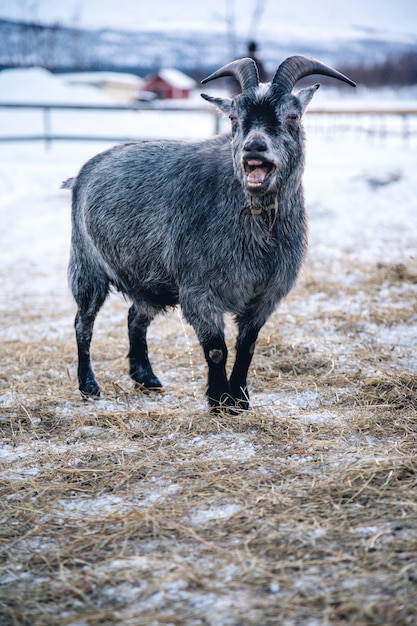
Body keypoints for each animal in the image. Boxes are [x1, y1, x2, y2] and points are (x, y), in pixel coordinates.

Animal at [66, 54, 354, 410]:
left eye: (292, 115)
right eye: (233, 117)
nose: (254, 147)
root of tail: (83, 172)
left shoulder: (265, 295)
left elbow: (246, 348)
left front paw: (240, 399)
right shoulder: (200, 290)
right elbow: (217, 349)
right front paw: (219, 400)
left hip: (147, 278)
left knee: (135, 317)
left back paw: (146, 377)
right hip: (86, 267)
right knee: (83, 323)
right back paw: (89, 385)